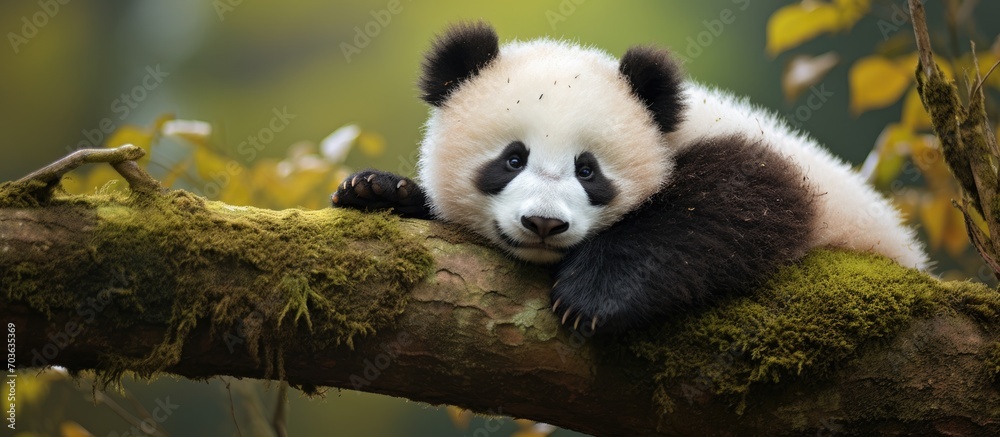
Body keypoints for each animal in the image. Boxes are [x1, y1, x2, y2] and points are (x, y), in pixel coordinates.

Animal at [331, 22, 928, 334]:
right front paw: (378, 191)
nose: (543, 224)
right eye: (512, 159)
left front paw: (592, 295)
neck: (672, 126)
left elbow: (746, 198)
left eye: (588, 169)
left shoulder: (771, 162)